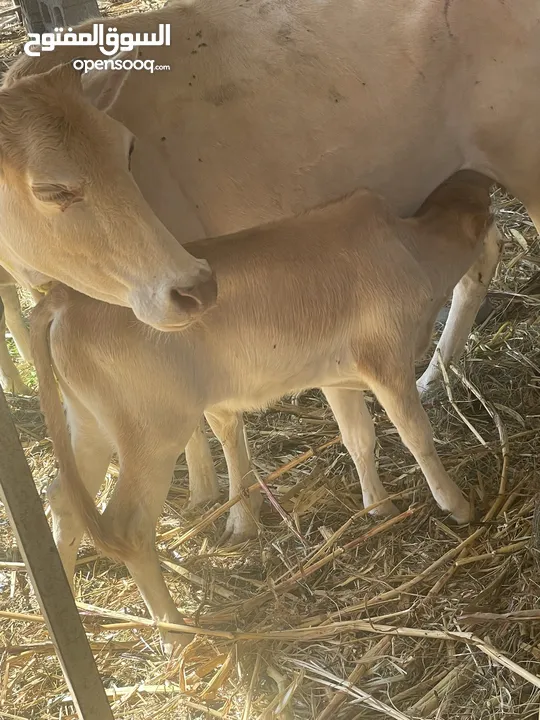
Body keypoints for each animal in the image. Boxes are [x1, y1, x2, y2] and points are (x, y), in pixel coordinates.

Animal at [29, 173, 494, 652]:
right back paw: (175, 631)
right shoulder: (386, 360)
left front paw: (378, 508)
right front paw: (457, 504)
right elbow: (416, 435)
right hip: (152, 433)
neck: (410, 246)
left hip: (90, 424)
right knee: (127, 528)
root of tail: (63, 298)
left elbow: (358, 439)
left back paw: (65, 612)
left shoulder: (338, 376)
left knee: (62, 499)